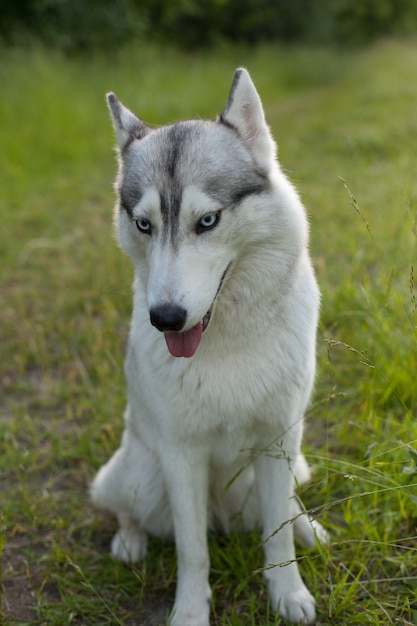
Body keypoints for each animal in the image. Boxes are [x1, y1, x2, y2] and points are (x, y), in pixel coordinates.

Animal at [91, 69, 324, 624]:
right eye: (144, 224)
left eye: (209, 221)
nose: (164, 318)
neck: (226, 344)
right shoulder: (182, 457)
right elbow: (192, 550)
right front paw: (191, 612)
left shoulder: (279, 438)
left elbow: (277, 536)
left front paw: (289, 593)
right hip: (138, 476)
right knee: (127, 511)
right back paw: (129, 543)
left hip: (286, 464)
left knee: (288, 505)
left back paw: (308, 527)